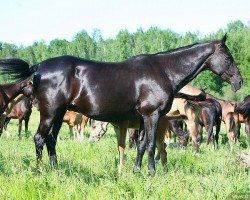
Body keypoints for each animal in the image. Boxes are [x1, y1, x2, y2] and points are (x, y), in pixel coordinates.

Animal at [0, 34, 242, 175]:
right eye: (228, 57)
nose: (239, 82)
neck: (163, 71)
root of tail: (39, 67)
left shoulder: (144, 118)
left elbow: (142, 145)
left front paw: (136, 171)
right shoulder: (152, 115)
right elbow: (151, 145)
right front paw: (151, 173)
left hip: (58, 114)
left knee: (50, 139)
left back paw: (55, 169)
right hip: (49, 113)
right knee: (39, 138)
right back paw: (40, 171)